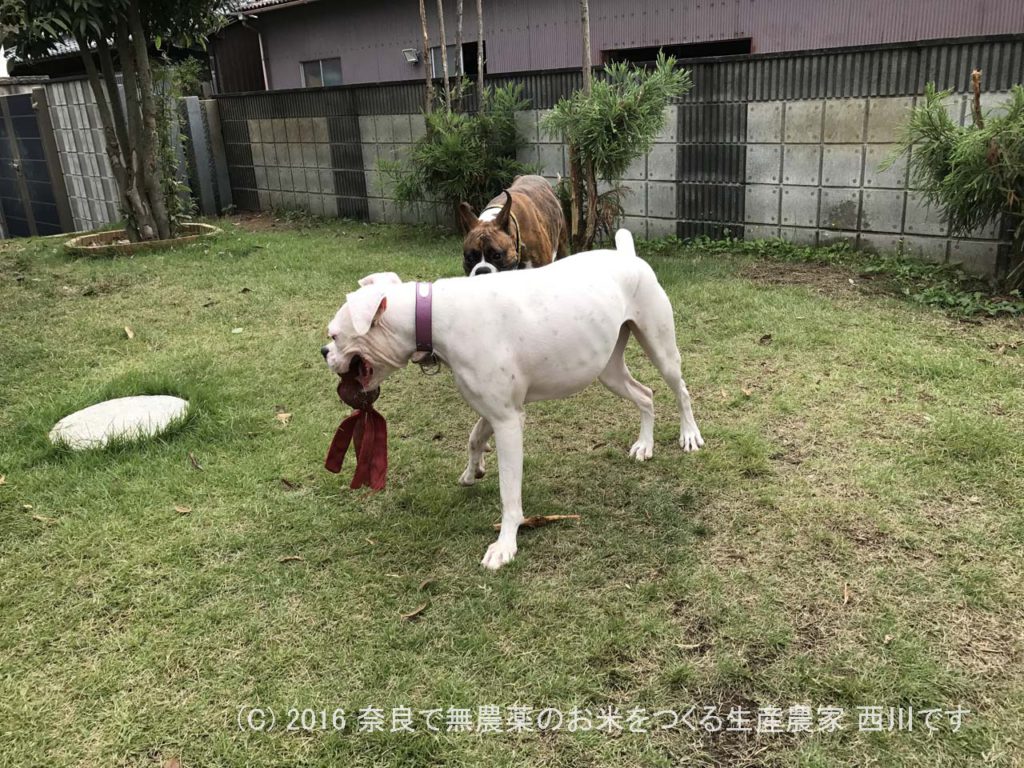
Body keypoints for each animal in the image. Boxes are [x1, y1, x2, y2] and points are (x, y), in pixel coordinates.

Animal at [321, 228, 704, 573]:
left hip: (661, 349)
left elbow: (509, 492)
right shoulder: (495, 409)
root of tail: (627, 254)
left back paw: (689, 435)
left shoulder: (507, 421)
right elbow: (474, 437)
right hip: (607, 370)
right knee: (646, 395)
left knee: (680, 390)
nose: (323, 351)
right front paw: (472, 470)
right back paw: (644, 445)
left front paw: (505, 545)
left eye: (335, 335)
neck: (433, 315)